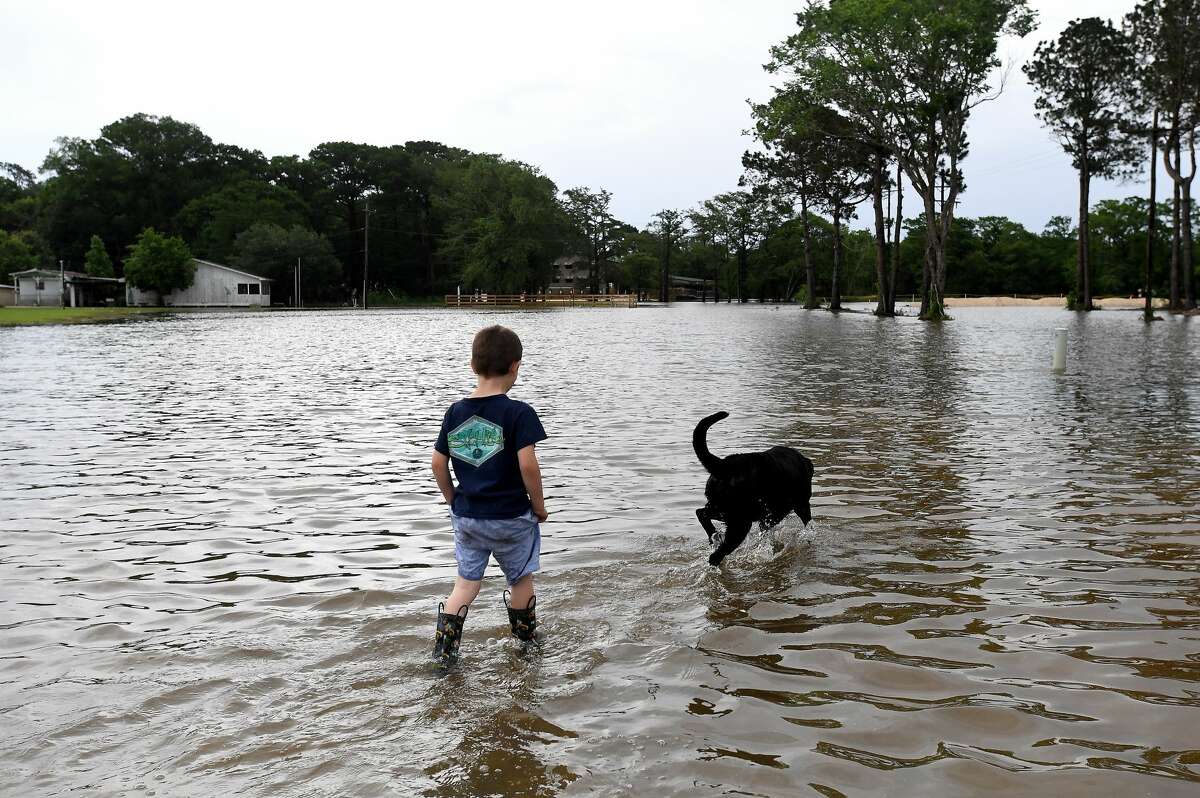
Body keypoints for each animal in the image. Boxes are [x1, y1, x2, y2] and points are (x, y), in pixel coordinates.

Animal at [696, 410, 816, 566]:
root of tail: (724, 466)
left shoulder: (768, 517)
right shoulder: (800, 505)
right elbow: (808, 525)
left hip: (721, 509)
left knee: (701, 513)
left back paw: (713, 536)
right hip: (740, 521)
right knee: (717, 555)